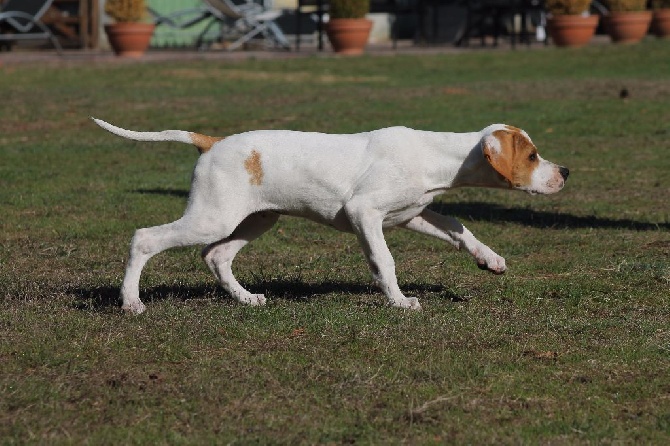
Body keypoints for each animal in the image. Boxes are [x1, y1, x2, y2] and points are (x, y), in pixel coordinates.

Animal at [93, 119, 568, 314]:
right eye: (532, 156)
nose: (564, 172)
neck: (435, 156)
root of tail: (211, 142)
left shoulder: (409, 215)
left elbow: (457, 227)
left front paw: (490, 259)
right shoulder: (366, 214)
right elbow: (385, 262)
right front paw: (399, 302)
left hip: (255, 220)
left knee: (216, 256)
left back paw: (247, 299)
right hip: (213, 217)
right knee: (144, 238)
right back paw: (131, 303)